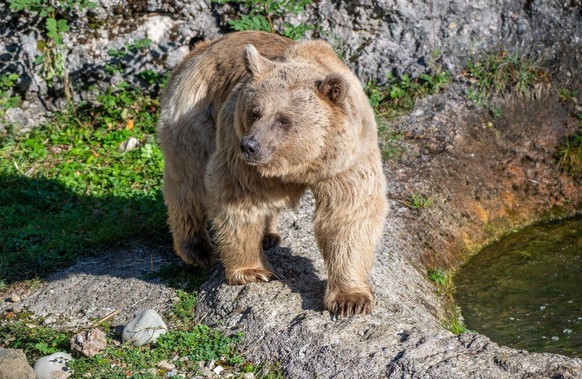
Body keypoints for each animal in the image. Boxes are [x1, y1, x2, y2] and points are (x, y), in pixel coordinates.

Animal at [157, 31, 390, 318]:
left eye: (283, 119)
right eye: (255, 111)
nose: (249, 145)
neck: (302, 164)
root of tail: (201, 47)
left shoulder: (347, 160)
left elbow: (348, 214)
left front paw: (351, 300)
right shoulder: (240, 154)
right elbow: (239, 200)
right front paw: (252, 271)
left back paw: (268, 235)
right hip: (194, 117)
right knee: (187, 182)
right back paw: (196, 249)